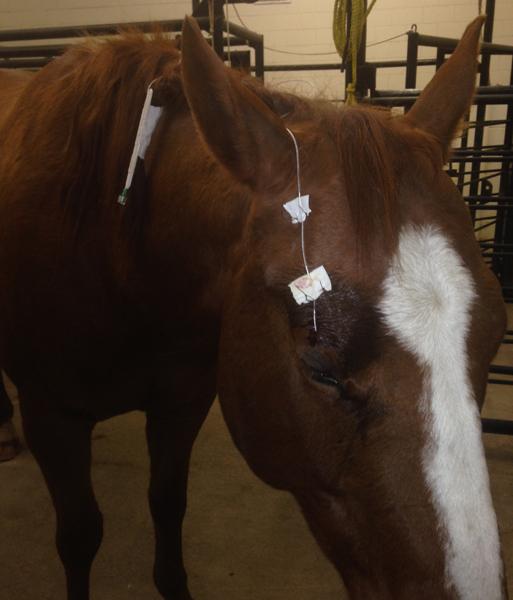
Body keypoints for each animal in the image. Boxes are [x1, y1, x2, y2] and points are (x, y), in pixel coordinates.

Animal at [0, 15, 506, 600]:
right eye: (319, 365)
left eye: (496, 335)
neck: (117, 242)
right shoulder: (51, 415)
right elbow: (80, 536)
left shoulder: (182, 402)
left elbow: (167, 503)